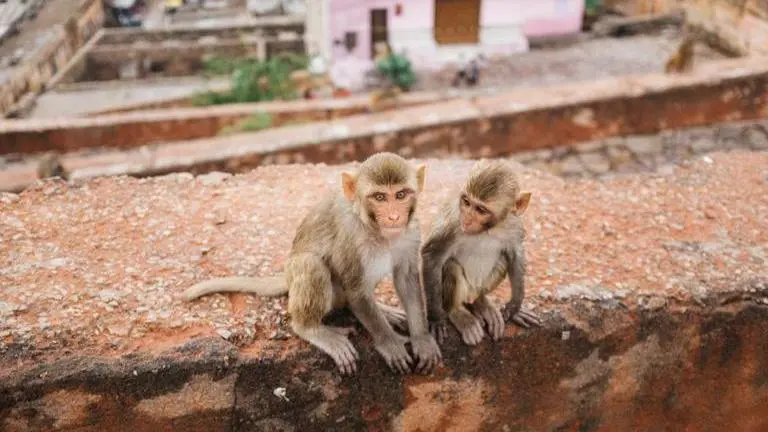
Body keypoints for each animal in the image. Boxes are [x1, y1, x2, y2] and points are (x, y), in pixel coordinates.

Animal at [183, 152, 442, 375]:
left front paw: (422, 340)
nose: (394, 217)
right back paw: (312, 329)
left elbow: (407, 281)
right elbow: (357, 291)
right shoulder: (351, 238)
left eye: (401, 195)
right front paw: (390, 343)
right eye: (379, 197)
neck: (377, 231)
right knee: (312, 265)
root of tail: (287, 276)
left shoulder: (411, 233)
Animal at [421, 159, 541, 346]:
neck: (488, 229)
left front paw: (515, 307)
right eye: (466, 202)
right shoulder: (453, 224)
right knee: (451, 267)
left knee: (503, 260)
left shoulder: (514, 224)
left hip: (477, 287)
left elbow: (515, 254)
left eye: (481, 210)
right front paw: (435, 319)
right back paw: (459, 314)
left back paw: (481, 304)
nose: (467, 218)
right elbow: (432, 256)